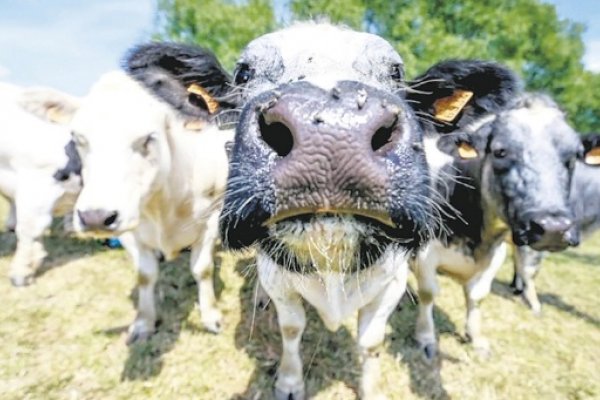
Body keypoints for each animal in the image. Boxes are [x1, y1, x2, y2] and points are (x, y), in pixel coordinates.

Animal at [68, 69, 232, 344]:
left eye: (148, 138)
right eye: (78, 139)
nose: (95, 217)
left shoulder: (210, 220)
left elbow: (203, 269)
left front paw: (212, 317)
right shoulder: (128, 231)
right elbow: (145, 275)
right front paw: (143, 323)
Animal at [126, 22, 520, 400]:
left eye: (396, 73)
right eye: (243, 73)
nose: (332, 131)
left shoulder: (392, 284)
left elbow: (371, 342)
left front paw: (372, 390)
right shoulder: (279, 280)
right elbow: (291, 329)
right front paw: (289, 383)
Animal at [412, 91, 580, 360]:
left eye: (574, 156)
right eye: (501, 151)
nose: (553, 228)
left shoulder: (496, 254)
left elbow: (478, 296)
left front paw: (476, 338)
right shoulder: (424, 253)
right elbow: (429, 292)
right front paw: (426, 338)